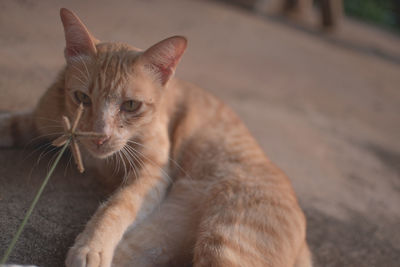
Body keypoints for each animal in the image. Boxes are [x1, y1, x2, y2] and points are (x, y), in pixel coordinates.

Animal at [0, 8, 312, 267]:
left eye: (130, 105)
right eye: (82, 98)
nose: (100, 136)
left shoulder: (151, 174)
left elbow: (116, 206)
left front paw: (91, 247)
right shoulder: (40, 123)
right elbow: (9, 123)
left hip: (227, 242)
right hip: (155, 238)